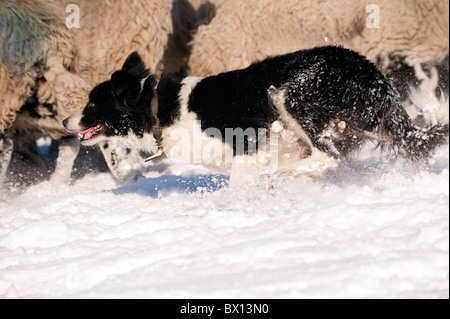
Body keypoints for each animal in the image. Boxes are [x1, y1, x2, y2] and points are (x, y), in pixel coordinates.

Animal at [61, 46, 448, 184]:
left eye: (91, 105)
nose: (65, 122)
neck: (157, 108)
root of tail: (373, 74)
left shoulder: (246, 145)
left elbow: (240, 180)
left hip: (291, 92)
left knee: (326, 156)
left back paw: (285, 172)